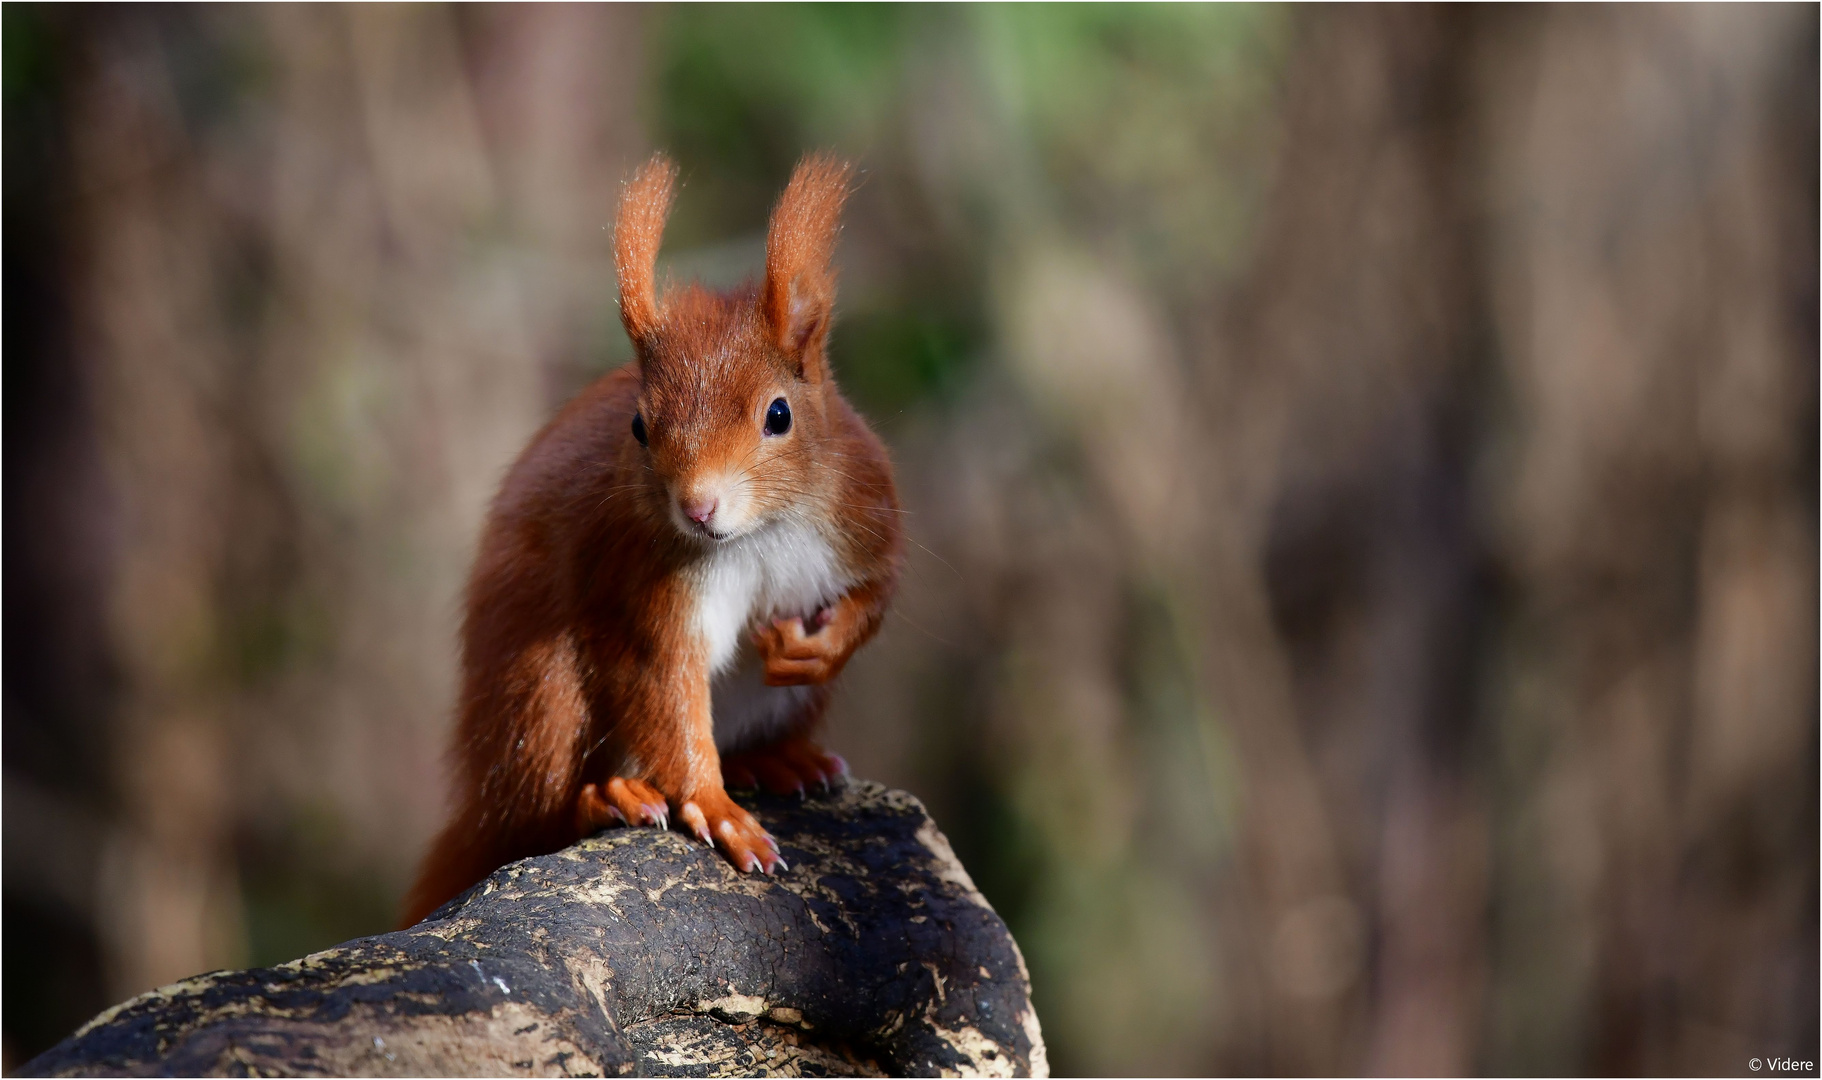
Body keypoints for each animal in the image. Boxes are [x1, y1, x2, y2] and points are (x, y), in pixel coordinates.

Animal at [406, 155, 903, 921]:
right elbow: (667, 685)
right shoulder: (644, 582)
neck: (757, 534)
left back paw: (775, 758)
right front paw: (714, 806)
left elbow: (877, 596)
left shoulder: (862, 515)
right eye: (639, 427)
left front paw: (820, 647)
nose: (697, 508)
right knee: (535, 817)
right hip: (540, 695)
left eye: (779, 415)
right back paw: (604, 798)